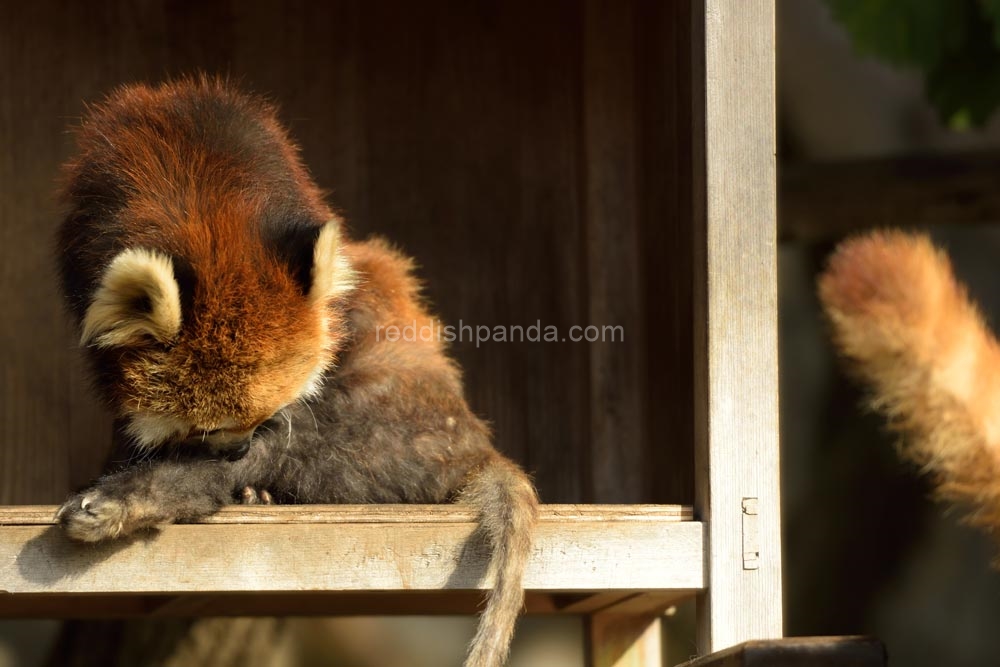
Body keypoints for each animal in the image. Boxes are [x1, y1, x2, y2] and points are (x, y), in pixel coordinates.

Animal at [54, 74, 540, 667]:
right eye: (204, 426)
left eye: (263, 411)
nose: (234, 448)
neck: (194, 193)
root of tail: (475, 440)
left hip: (399, 412)